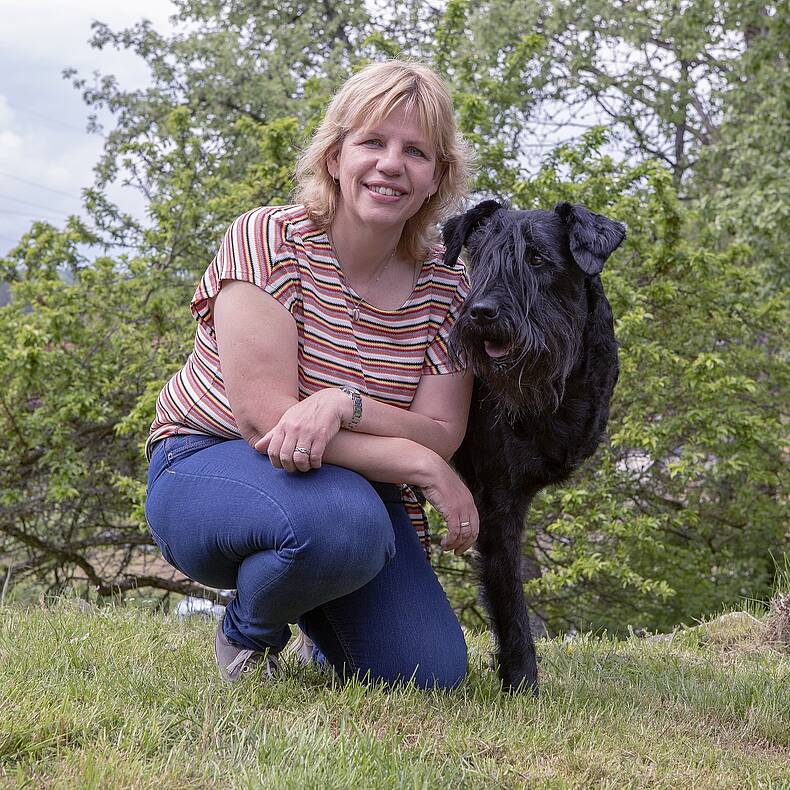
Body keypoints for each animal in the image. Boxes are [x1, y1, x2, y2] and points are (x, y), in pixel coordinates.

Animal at [442, 201, 628, 696]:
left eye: (538, 259)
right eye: (479, 258)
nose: (482, 312)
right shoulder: (496, 503)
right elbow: (510, 602)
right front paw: (522, 681)